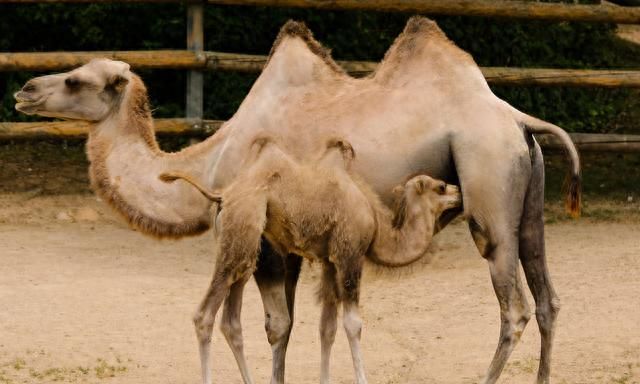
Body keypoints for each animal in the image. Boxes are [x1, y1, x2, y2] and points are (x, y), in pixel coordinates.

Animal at [160, 138, 460, 384]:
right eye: (440, 186)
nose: (459, 192)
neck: (375, 225)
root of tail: (224, 194)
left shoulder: (329, 262)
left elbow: (326, 327)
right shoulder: (350, 256)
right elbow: (353, 324)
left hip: (244, 247)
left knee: (232, 320)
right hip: (242, 232)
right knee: (204, 315)